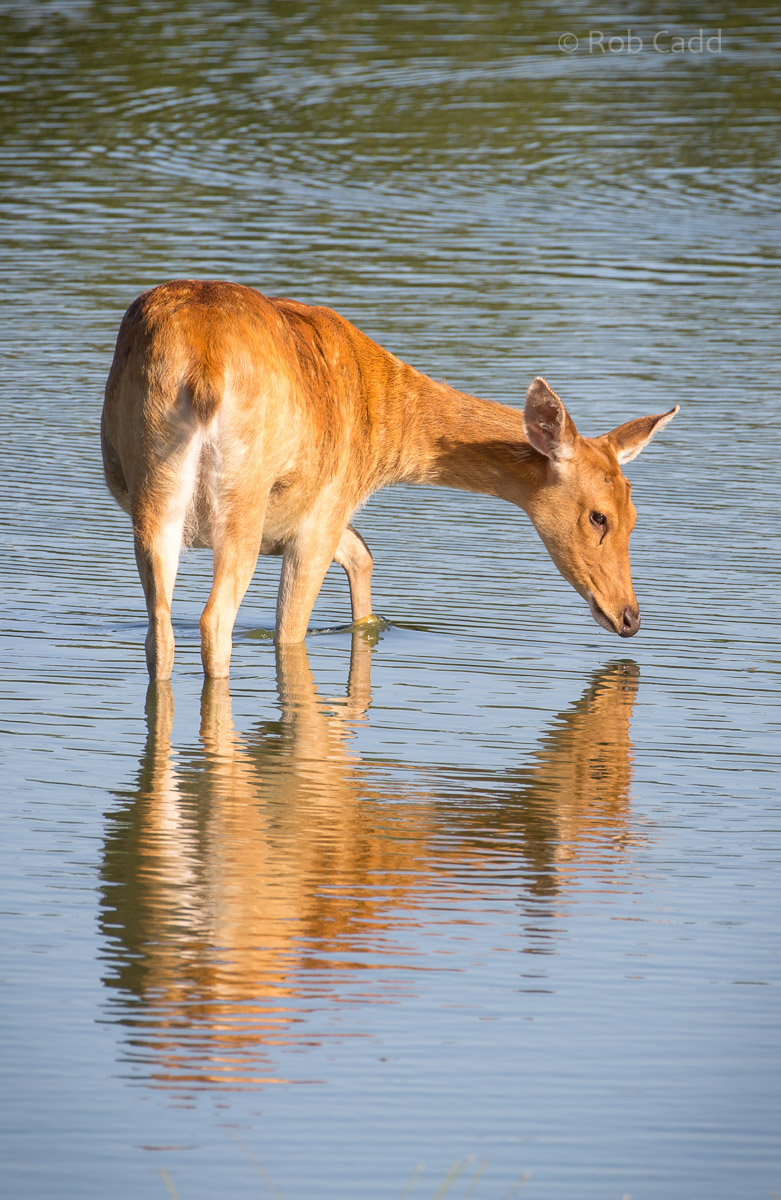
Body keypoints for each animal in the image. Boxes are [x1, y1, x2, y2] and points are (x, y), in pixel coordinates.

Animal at [101, 279, 678, 680]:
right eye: (599, 516)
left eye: (635, 516)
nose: (630, 618)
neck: (381, 437)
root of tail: (201, 365)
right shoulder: (322, 512)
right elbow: (295, 627)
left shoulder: (308, 520)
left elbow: (364, 557)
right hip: (243, 497)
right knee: (215, 621)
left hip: (151, 495)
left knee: (160, 630)